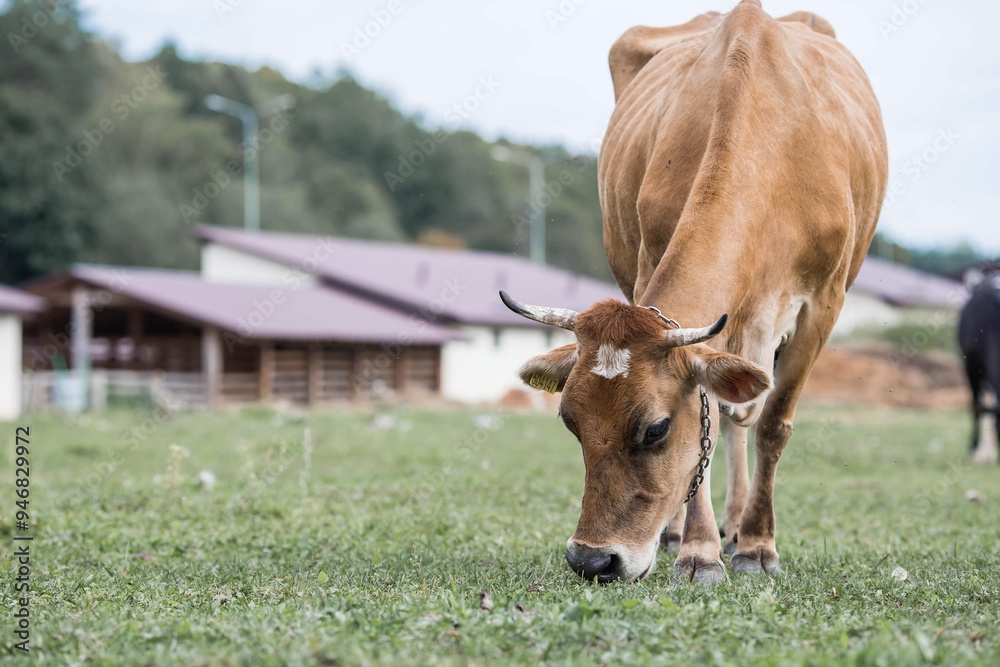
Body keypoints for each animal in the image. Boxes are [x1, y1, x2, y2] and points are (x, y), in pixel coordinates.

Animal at [500, 0, 884, 584]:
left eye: (656, 430)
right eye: (570, 422)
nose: (591, 559)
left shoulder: (824, 303)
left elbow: (773, 423)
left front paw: (757, 545)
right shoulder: (649, 271)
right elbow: (708, 414)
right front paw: (699, 551)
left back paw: (738, 528)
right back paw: (683, 532)